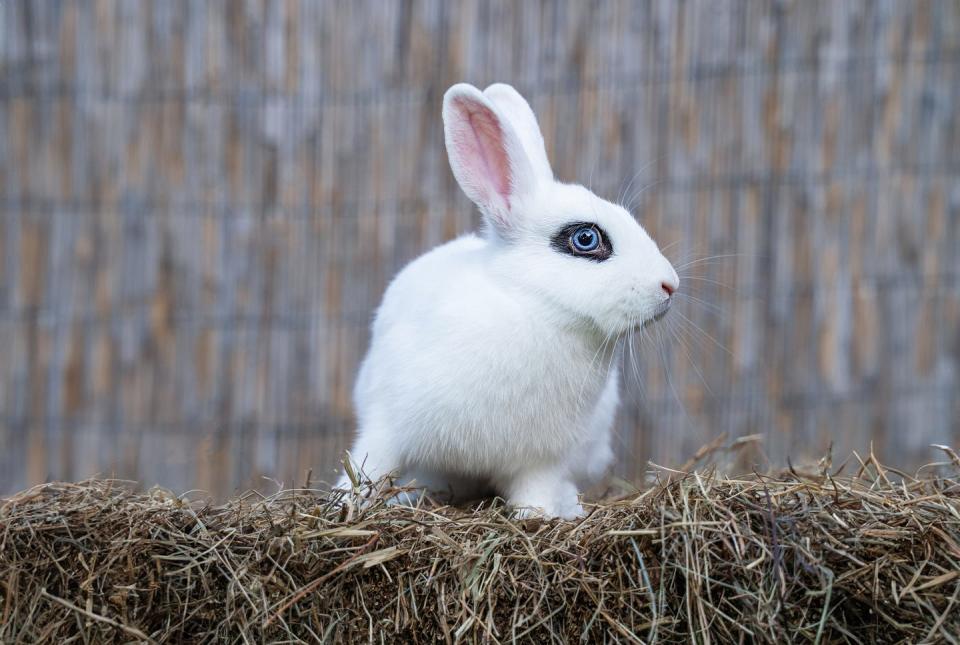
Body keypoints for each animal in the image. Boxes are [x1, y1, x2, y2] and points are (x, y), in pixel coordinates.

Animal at [338, 84, 676, 520]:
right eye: (586, 239)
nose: (670, 285)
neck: (535, 310)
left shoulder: (541, 461)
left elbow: (536, 494)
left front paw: (541, 516)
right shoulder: (386, 427)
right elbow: (367, 468)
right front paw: (343, 504)